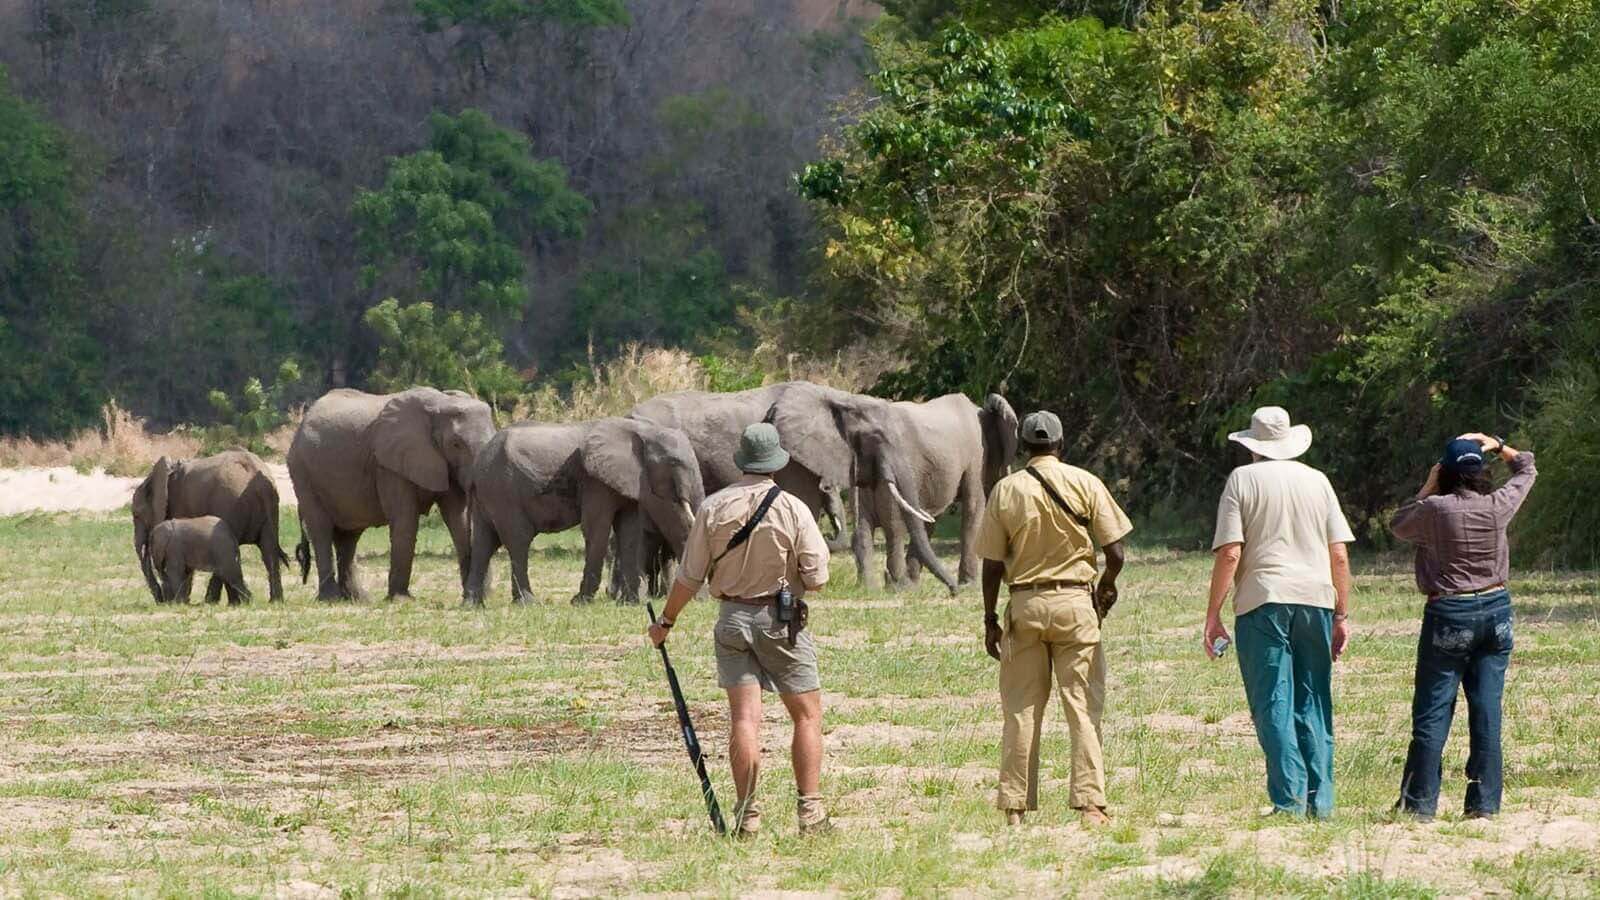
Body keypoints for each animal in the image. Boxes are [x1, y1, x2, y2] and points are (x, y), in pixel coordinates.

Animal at [132, 448, 286, 602]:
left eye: (136, 514)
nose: (161, 599)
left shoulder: (179, 504)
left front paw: (181, 601)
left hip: (228, 504)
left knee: (224, 557)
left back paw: (214, 601)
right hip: (270, 510)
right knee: (269, 551)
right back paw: (272, 601)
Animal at [288, 384, 496, 598]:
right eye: (456, 444)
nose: (484, 593)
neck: (440, 402)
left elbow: (457, 519)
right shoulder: (389, 465)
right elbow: (405, 519)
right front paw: (401, 600)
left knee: (349, 537)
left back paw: (358, 599)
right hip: (303, 473)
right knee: (321, 530)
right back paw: (331, 599)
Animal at [467, 419, 707, 602]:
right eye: (674, 463)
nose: (703, 601)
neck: (642, 431)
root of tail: (479, 461)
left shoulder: (628, 481)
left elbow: (629, 532)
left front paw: (631, 602)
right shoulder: (596, 481)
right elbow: (596, 528)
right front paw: (581, 601)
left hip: (489, 493)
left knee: (483, 542)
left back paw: (473, 605)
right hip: (502, 490)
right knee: (518, 540)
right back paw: (528, 603)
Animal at [768, 384, 1017, 589]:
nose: (954, 591)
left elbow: (928, 519)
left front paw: (914, 586)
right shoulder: (976, 454)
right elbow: (973, 508)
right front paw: (969, 587)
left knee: (871, 525)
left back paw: (875, 587)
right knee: (894, 524)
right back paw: (894, 586)